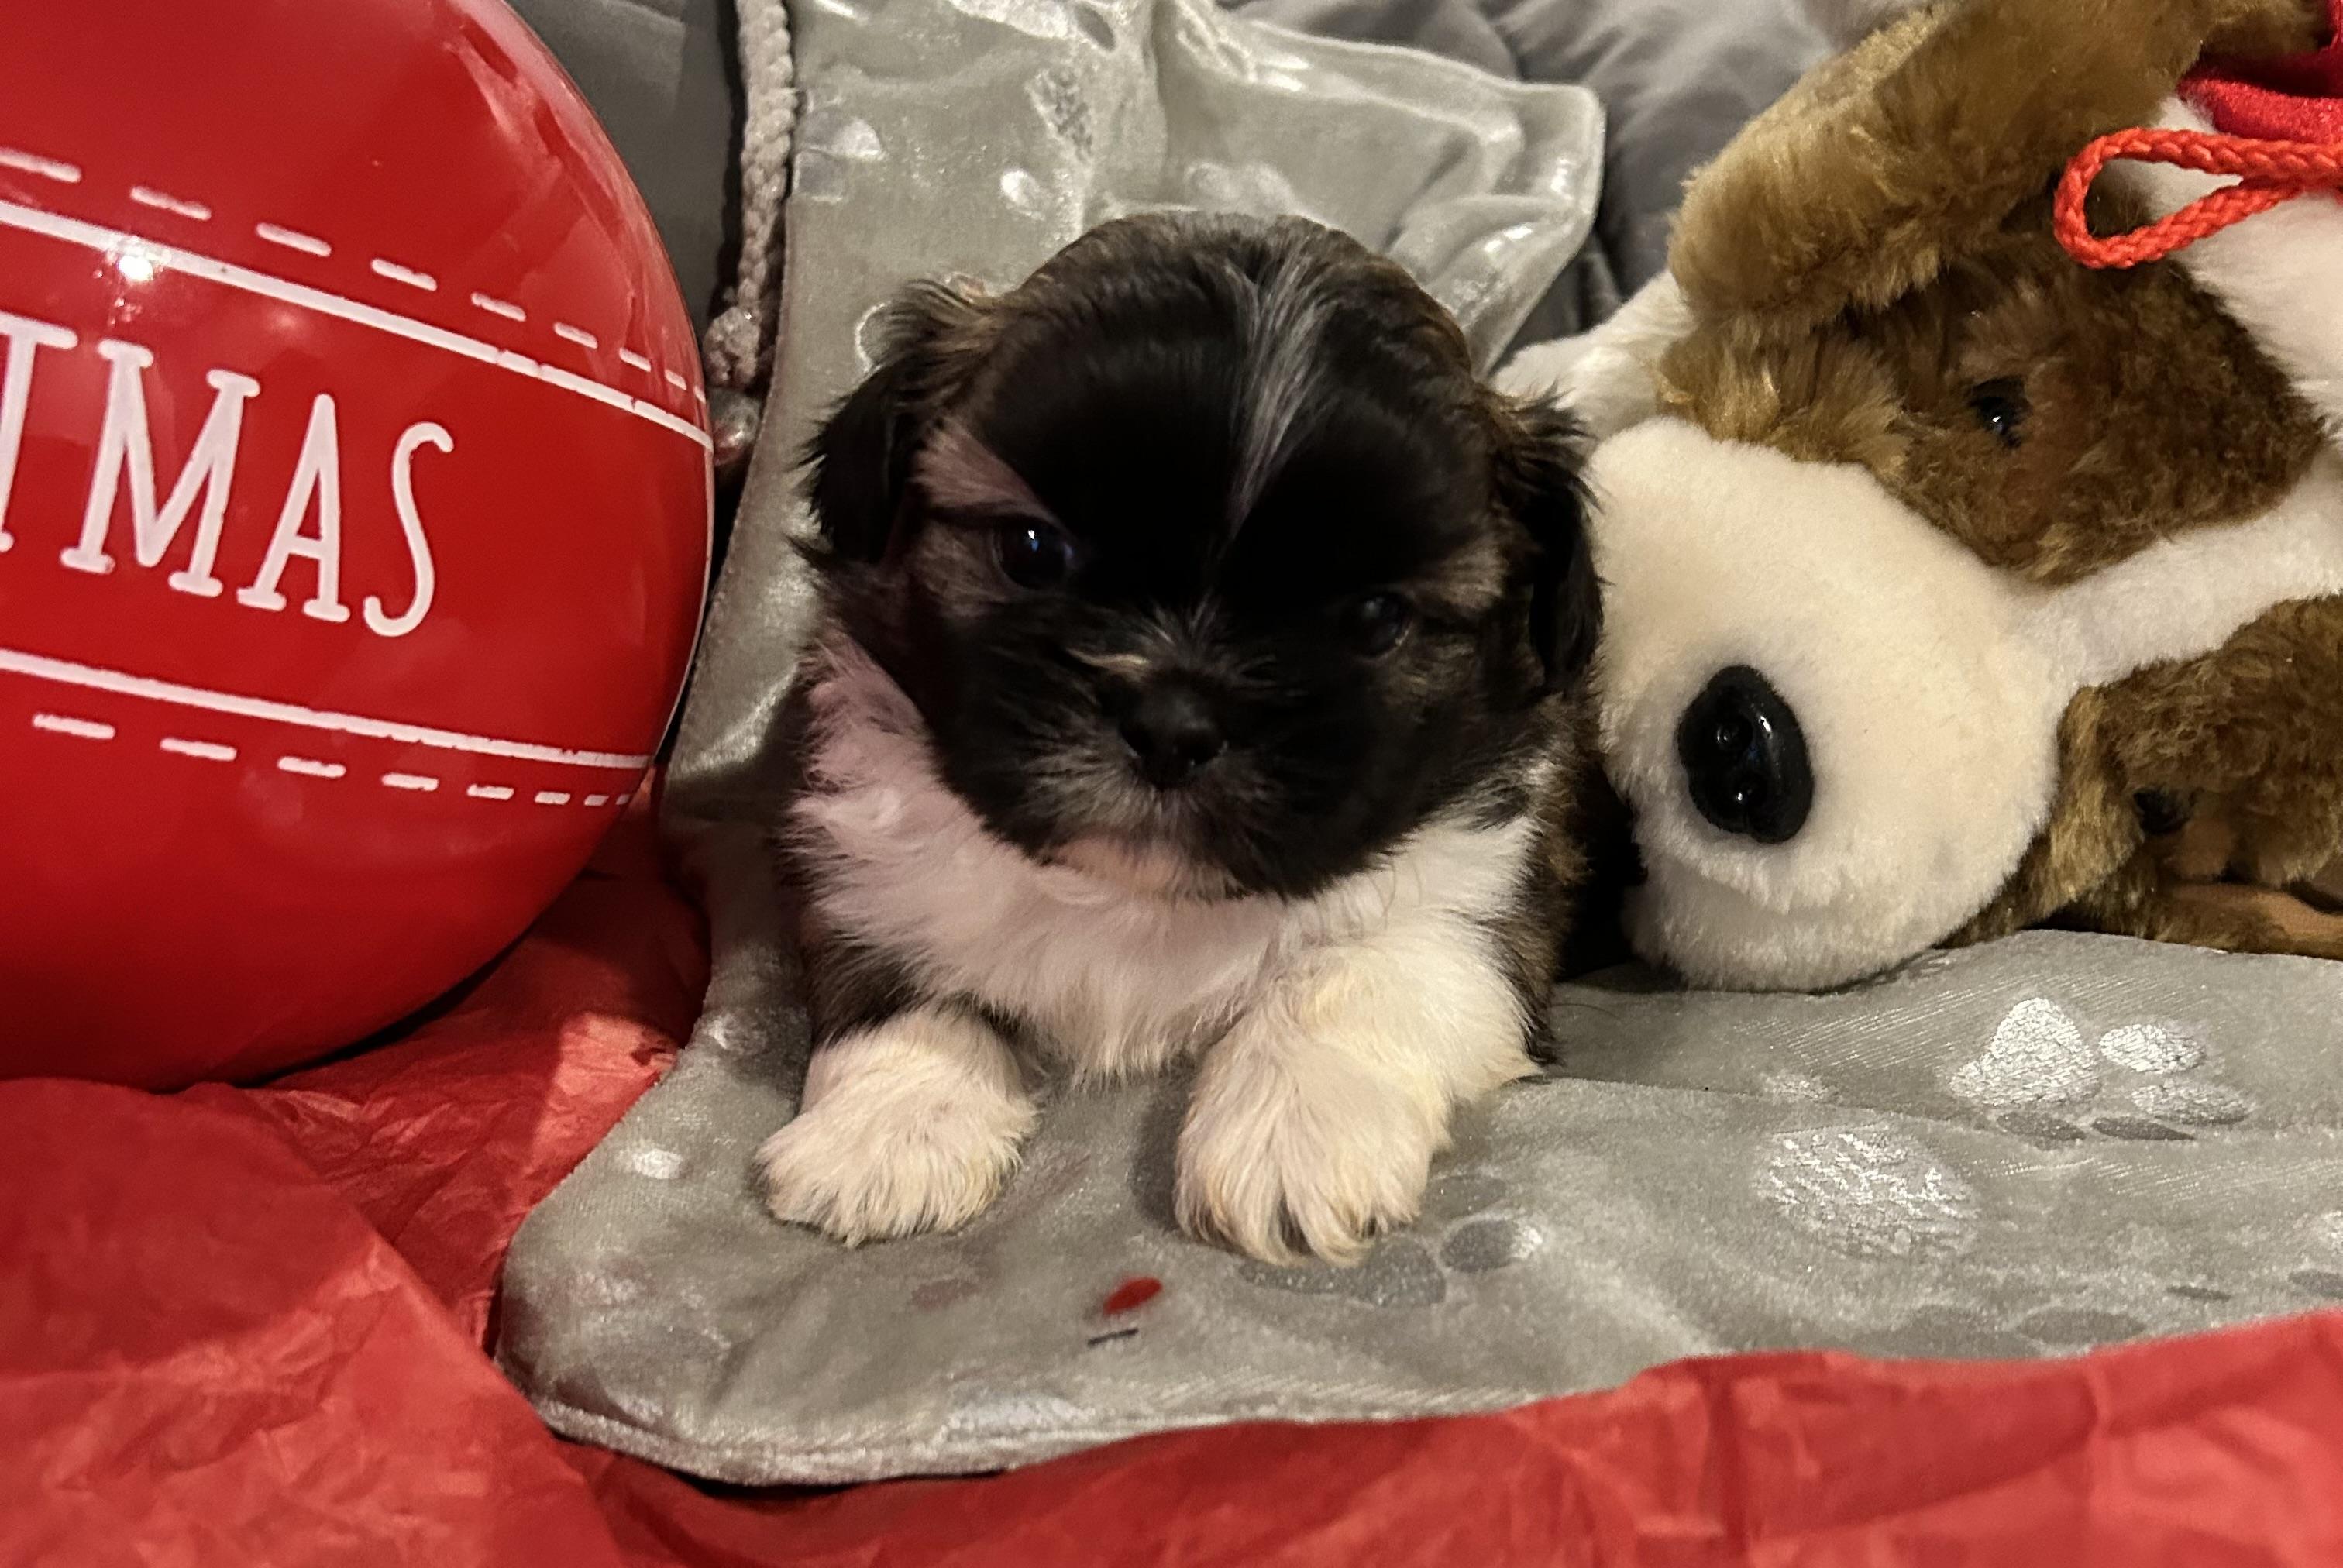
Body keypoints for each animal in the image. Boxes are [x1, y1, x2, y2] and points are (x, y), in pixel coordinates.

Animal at [758, 212, 1601, 1263]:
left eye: (1375, 619)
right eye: (1032, 550)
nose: (1171, 722)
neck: (1137, 897)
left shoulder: (1489, 896)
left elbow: (1370, 964)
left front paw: (1296, 1128)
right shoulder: (858, 848)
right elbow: (894, 969)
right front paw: (892, 1125)